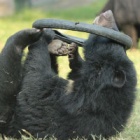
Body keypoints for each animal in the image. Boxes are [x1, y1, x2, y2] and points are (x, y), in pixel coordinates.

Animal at [0, 10, 136, 139]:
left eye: (111, 39)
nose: (108, 13)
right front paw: (68, 50)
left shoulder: (70, 104)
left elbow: (36, 84)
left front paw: (44, 36)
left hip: (7, 110)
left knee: (8, 70)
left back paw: (24, 36)